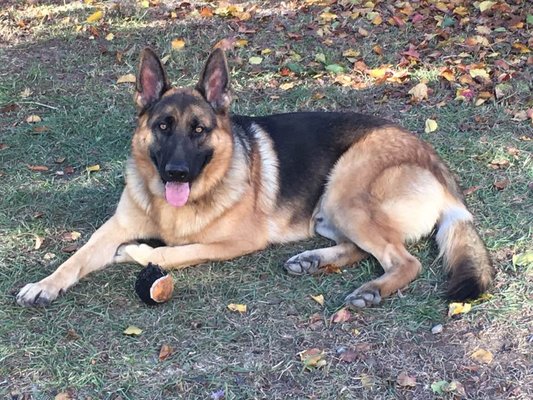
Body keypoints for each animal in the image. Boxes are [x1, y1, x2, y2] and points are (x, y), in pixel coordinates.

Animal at [14, 47, 492, 310]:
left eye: (199, 130)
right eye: (164, 126)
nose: (176, 172)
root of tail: (436, 163)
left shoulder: (234, 242)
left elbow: (174, 253)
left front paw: (136, 254)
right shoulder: (112, 227)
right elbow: (77, 257)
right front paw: (44, 285)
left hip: (345, 191)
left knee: (403, 260)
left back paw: (371, 290)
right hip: (330, 213)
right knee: (367, 249)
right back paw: (313, 260)